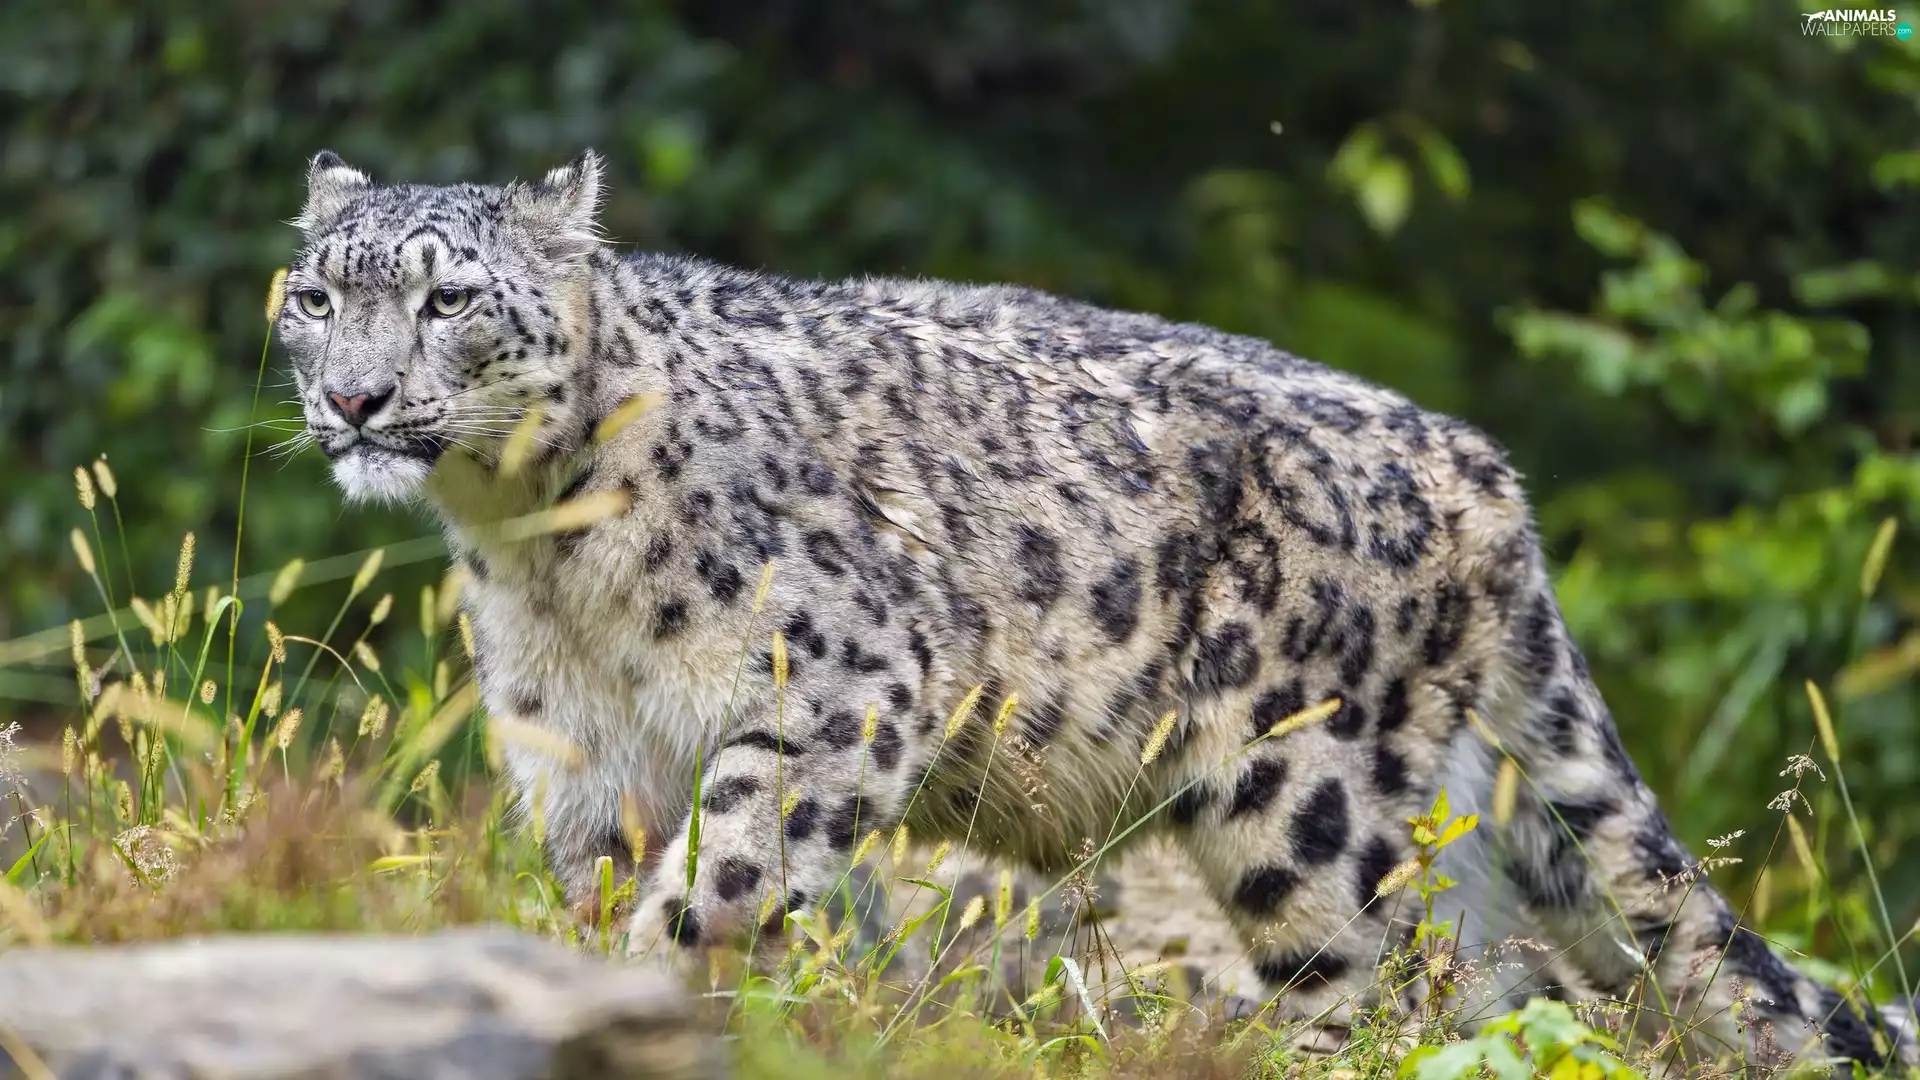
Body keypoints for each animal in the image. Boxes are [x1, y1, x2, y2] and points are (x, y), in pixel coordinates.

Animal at [277, 147, 1915, 1071]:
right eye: (315, 294)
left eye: (446, 298)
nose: (353, 399)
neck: (535, 554)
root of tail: (1489, 477)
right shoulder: (580, 763)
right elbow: (605, 891)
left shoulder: (838, 685)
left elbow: (727, 871)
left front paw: (669, 975)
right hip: (1453, 830)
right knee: (1512, 988)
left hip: (1310, 805)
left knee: (1372, 987)